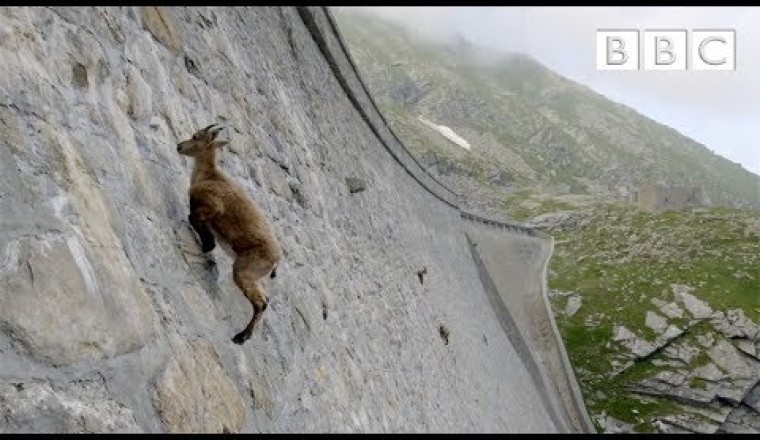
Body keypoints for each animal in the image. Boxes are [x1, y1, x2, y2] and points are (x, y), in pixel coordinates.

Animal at [177, 123, 281, 345]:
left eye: (195, 136)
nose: (179, 146)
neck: (210, 176)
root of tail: (277, 261)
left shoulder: (212, 207)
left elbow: (193, 217)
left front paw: (207, 244)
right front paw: (208, 244)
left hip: (244, 270)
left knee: (261, 303)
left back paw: (241, 337)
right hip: (255, 276)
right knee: (266, 299)